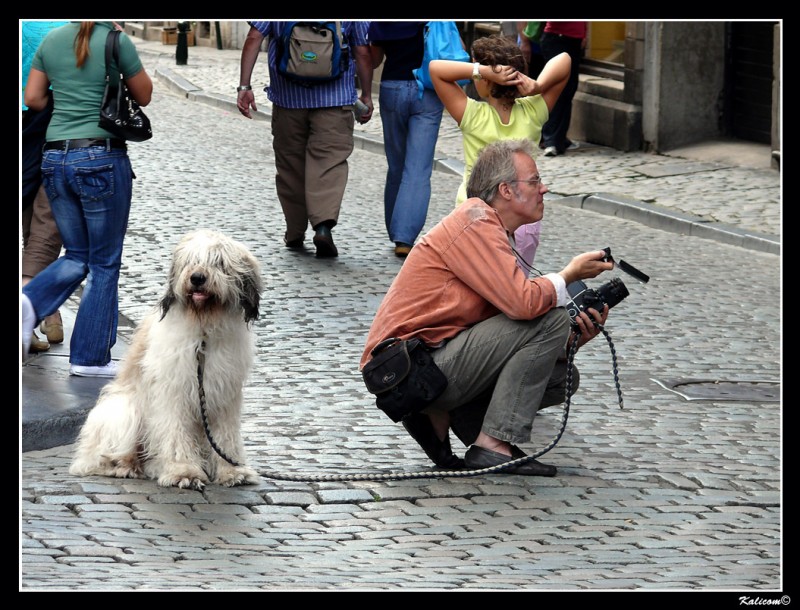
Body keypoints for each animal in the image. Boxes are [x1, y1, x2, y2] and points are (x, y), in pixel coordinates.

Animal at [69, 228, 262, 490]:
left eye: (219, 262)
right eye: (190, 260)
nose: (197, 278)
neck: (203, 333)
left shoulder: (224, 396)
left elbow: (225, 436)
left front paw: (233, 471)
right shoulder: (173, 392)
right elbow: (175, 432)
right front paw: (184, 472)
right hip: (123, 410)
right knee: (100, 457)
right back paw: (123, 466)